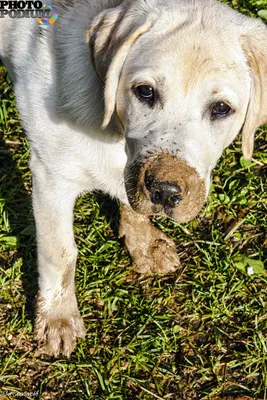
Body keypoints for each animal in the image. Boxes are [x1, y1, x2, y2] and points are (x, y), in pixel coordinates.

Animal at [0, 0, 266, 356]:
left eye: (221, 109)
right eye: (145, 92)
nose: (166, 191)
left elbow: (130, 196)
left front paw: (144, 244)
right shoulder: (51, 174)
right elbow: (60, 252)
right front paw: (58, 318)